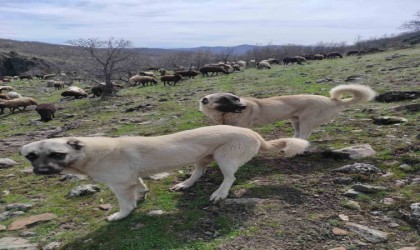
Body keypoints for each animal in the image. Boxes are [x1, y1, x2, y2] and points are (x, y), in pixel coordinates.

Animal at [19, 125, 308, 221]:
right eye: (32, 156)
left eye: (57, 154)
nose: (41, 171)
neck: (88, 153)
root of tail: (255, 134)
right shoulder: (131, 178)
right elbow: (140, 187)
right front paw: (142, 196)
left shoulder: (119, 184)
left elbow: (125, 204)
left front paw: (121, 215)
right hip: (202, 157)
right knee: (199, 172)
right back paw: (185, 185)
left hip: (224, 157)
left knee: (230, 177)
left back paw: (220, 193)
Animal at [200, 84, 378, 140]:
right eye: (224, 100)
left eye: (236, 99)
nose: (243, 106)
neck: (224, 115)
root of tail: (332, 100)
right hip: (295, 120)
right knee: (298, 134)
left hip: (306, 121)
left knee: (304, 136)